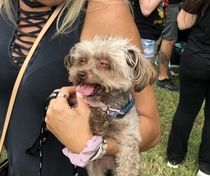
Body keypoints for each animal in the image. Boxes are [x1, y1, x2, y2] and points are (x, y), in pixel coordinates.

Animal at [65, 35, 157, 175]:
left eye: (104, 63)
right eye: (82, 60)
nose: (80, 74)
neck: (109, 108)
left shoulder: (128, 138)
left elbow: (127, 168)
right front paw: (98, 119)